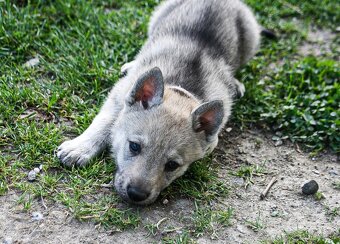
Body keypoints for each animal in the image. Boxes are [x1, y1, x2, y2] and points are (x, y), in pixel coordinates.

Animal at [57, 0, 262, 206]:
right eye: (134, 146)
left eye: (172, 165)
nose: (136, 194)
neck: (181, 88)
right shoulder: (117, 96)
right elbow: (104, 122)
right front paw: (79, 148)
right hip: (157, 17)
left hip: (251, 38)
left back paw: (236, 84)